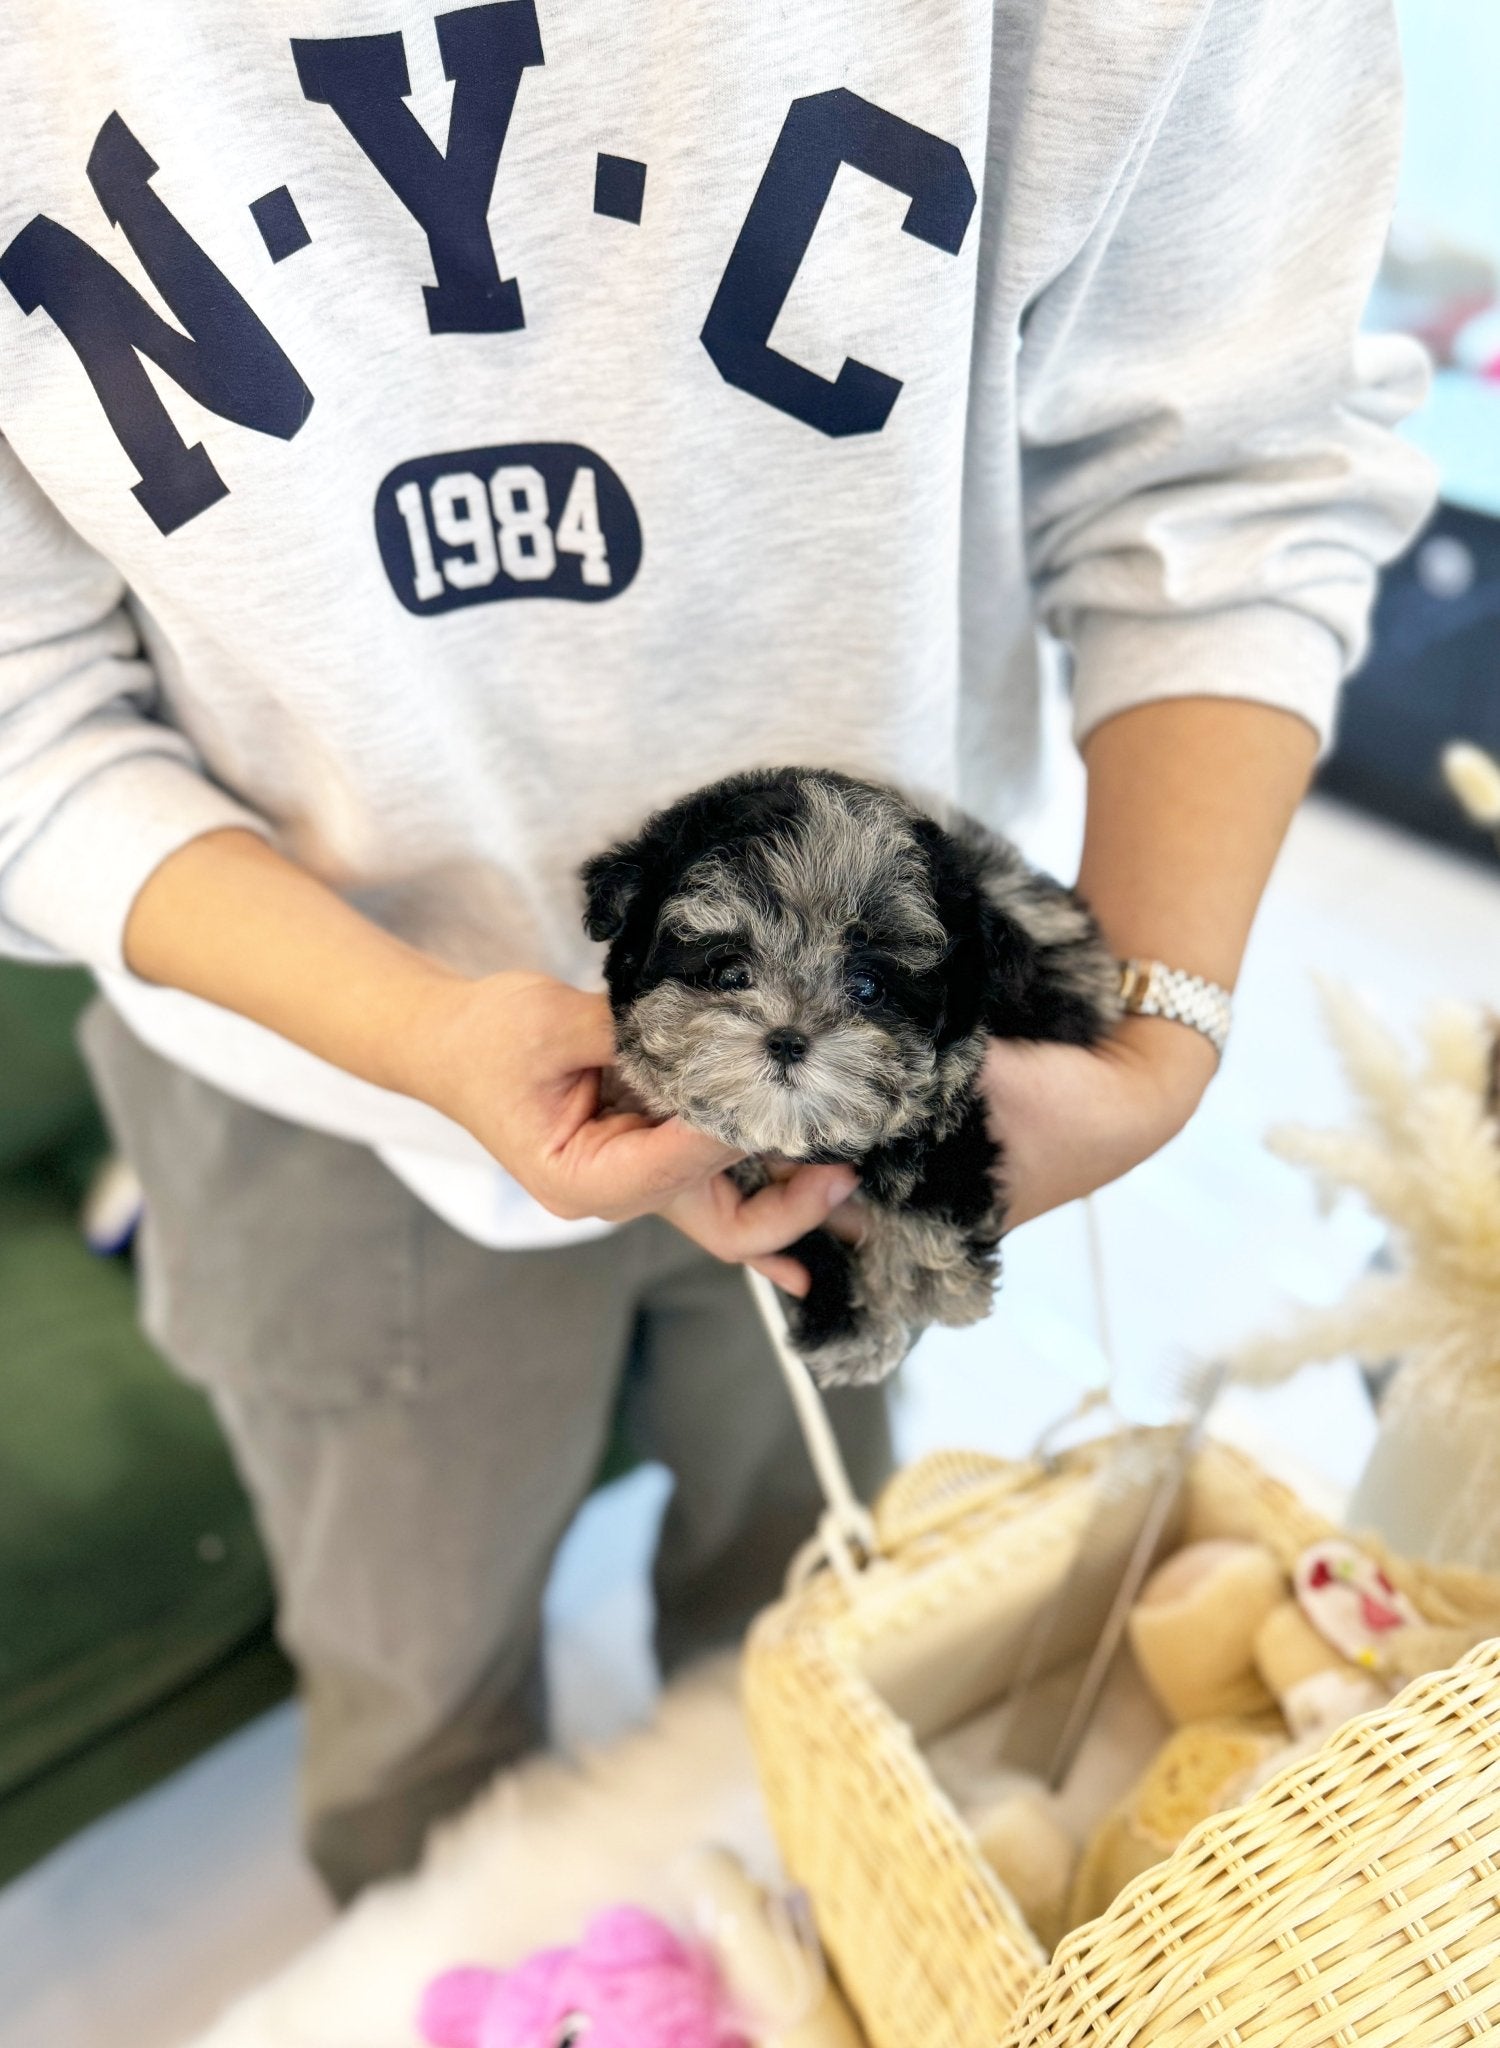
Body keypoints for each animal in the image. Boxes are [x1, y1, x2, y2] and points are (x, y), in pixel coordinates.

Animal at [581, 770, 1122, 1392]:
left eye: (867, 986)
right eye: (728, 971)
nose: (788, 1039)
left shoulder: (954, 1089)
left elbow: (931, 1159)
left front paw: (926, 1277)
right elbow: (794, 1235)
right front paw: (847, 1327)